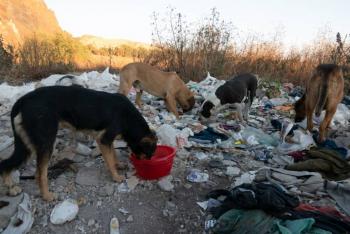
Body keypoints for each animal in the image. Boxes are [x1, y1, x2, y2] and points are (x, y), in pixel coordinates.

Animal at [0, 86, 157, 201]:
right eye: (148, 154)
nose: (149, 162)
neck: (128, 118)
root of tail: (23, 99)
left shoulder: (107, 140)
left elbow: (114, 155)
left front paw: (119, 165)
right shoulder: (104, 140)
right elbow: (110, 161)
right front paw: (116, 176)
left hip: (26, 146)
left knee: (7, 164)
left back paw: (11, 188)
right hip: (46, 143)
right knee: (40, 174)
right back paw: (47, 196)